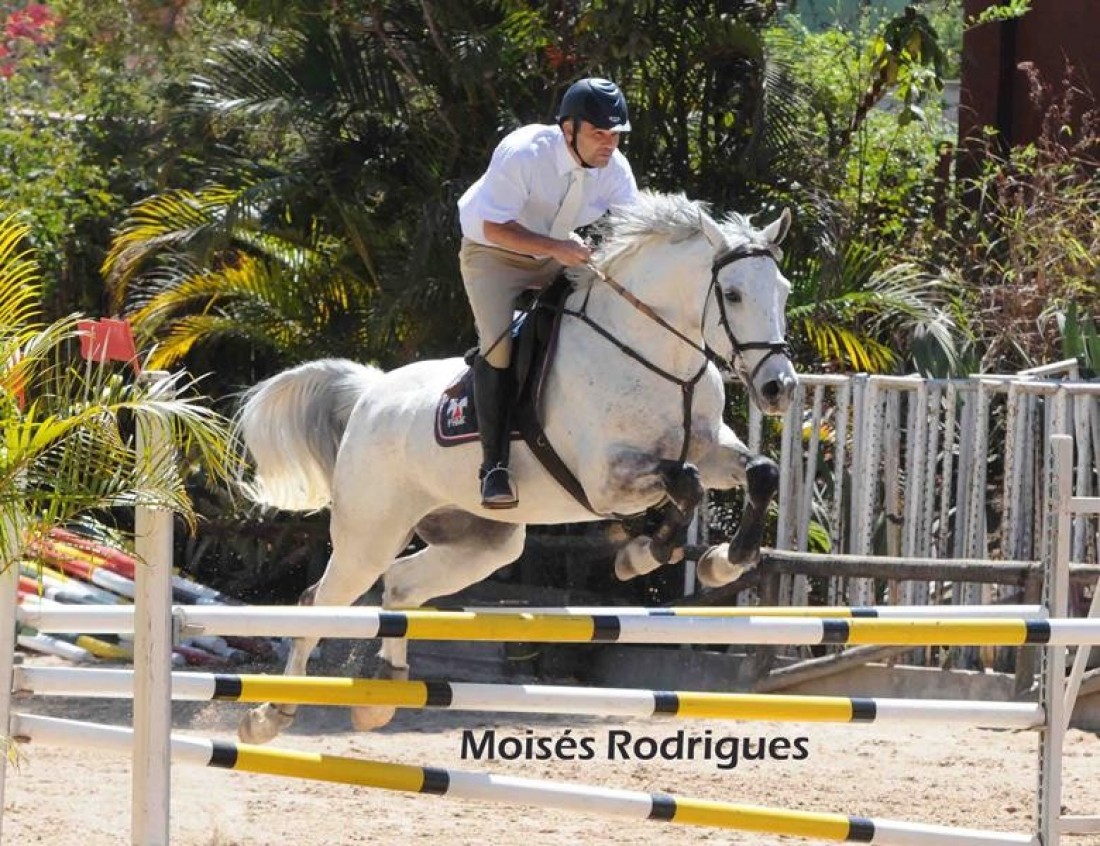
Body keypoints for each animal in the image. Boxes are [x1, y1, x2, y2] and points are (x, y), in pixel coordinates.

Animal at [234, 190, 798, 744]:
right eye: (733, 295)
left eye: (784, 291)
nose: (780, 388)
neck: (655, 358)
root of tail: (370, 391)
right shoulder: (606, 480)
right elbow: (686, 484)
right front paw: (643, 556)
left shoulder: (708, 446)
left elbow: (760, 473)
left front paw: (723, 560)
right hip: (369, 534)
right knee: (320, 599)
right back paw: (269, 715)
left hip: (485, 541)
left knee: (400, 585)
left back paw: (381, 697)